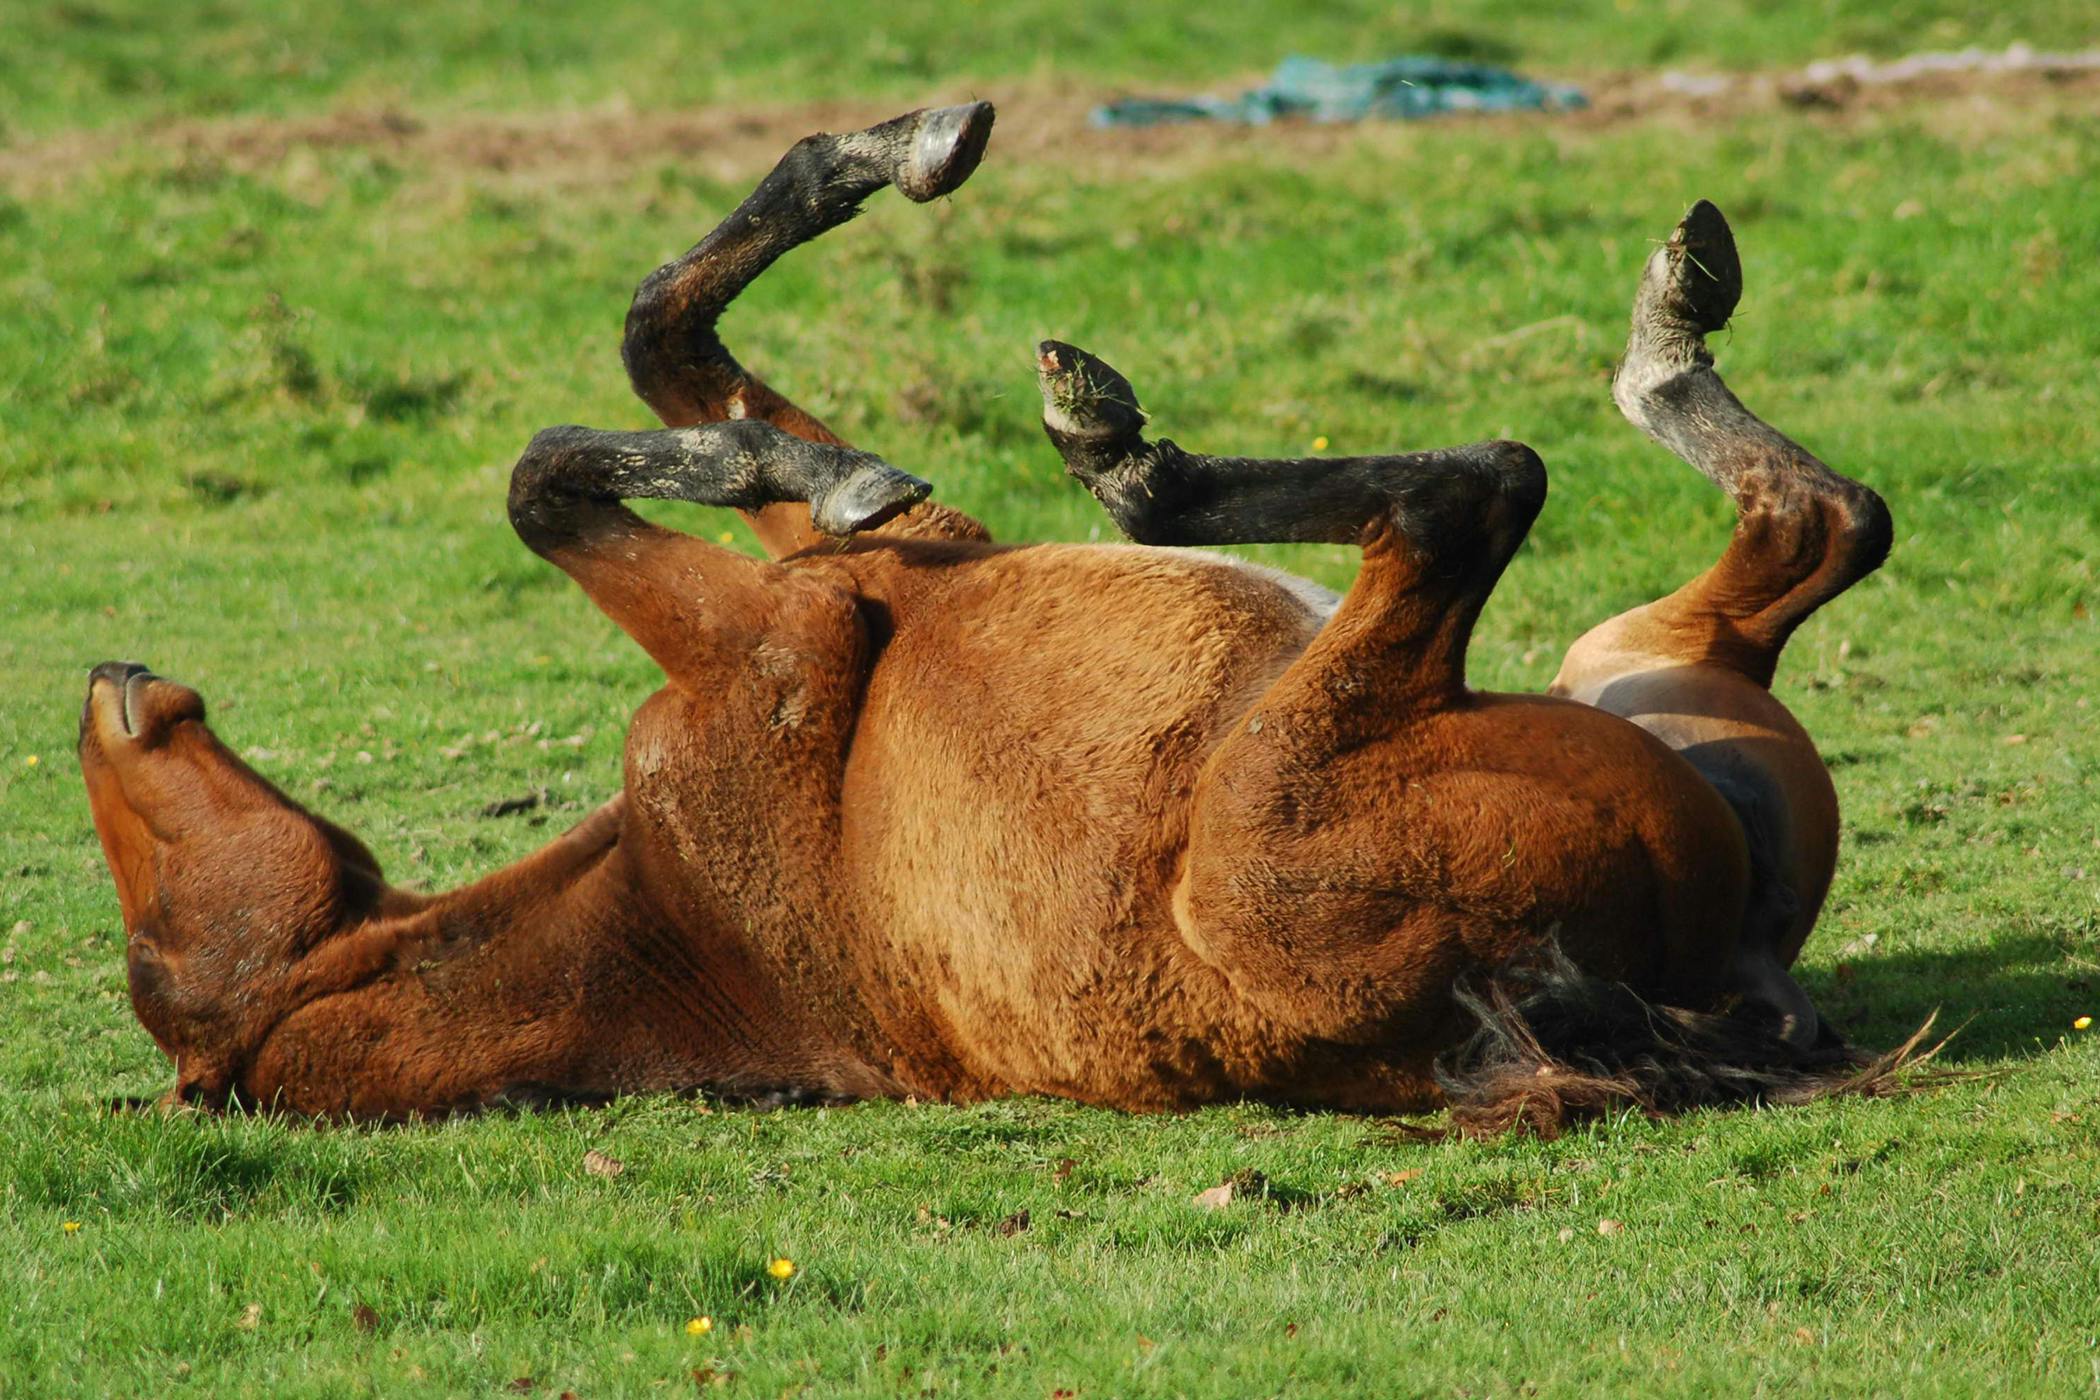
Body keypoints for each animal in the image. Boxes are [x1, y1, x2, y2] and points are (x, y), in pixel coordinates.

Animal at [77, 107, 1906, 1125]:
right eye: (156, 936)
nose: (108, 677)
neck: (670, 910)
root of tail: (1716, 978)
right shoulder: (776, 641)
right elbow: (551, 473)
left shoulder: (872, 568)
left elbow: (662, 338)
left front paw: (889, 154)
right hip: (1312, 778)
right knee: (1485, 498)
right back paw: (1124, 445)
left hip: (1642, 671)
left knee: (1818, 522)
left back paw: (1671, 308)